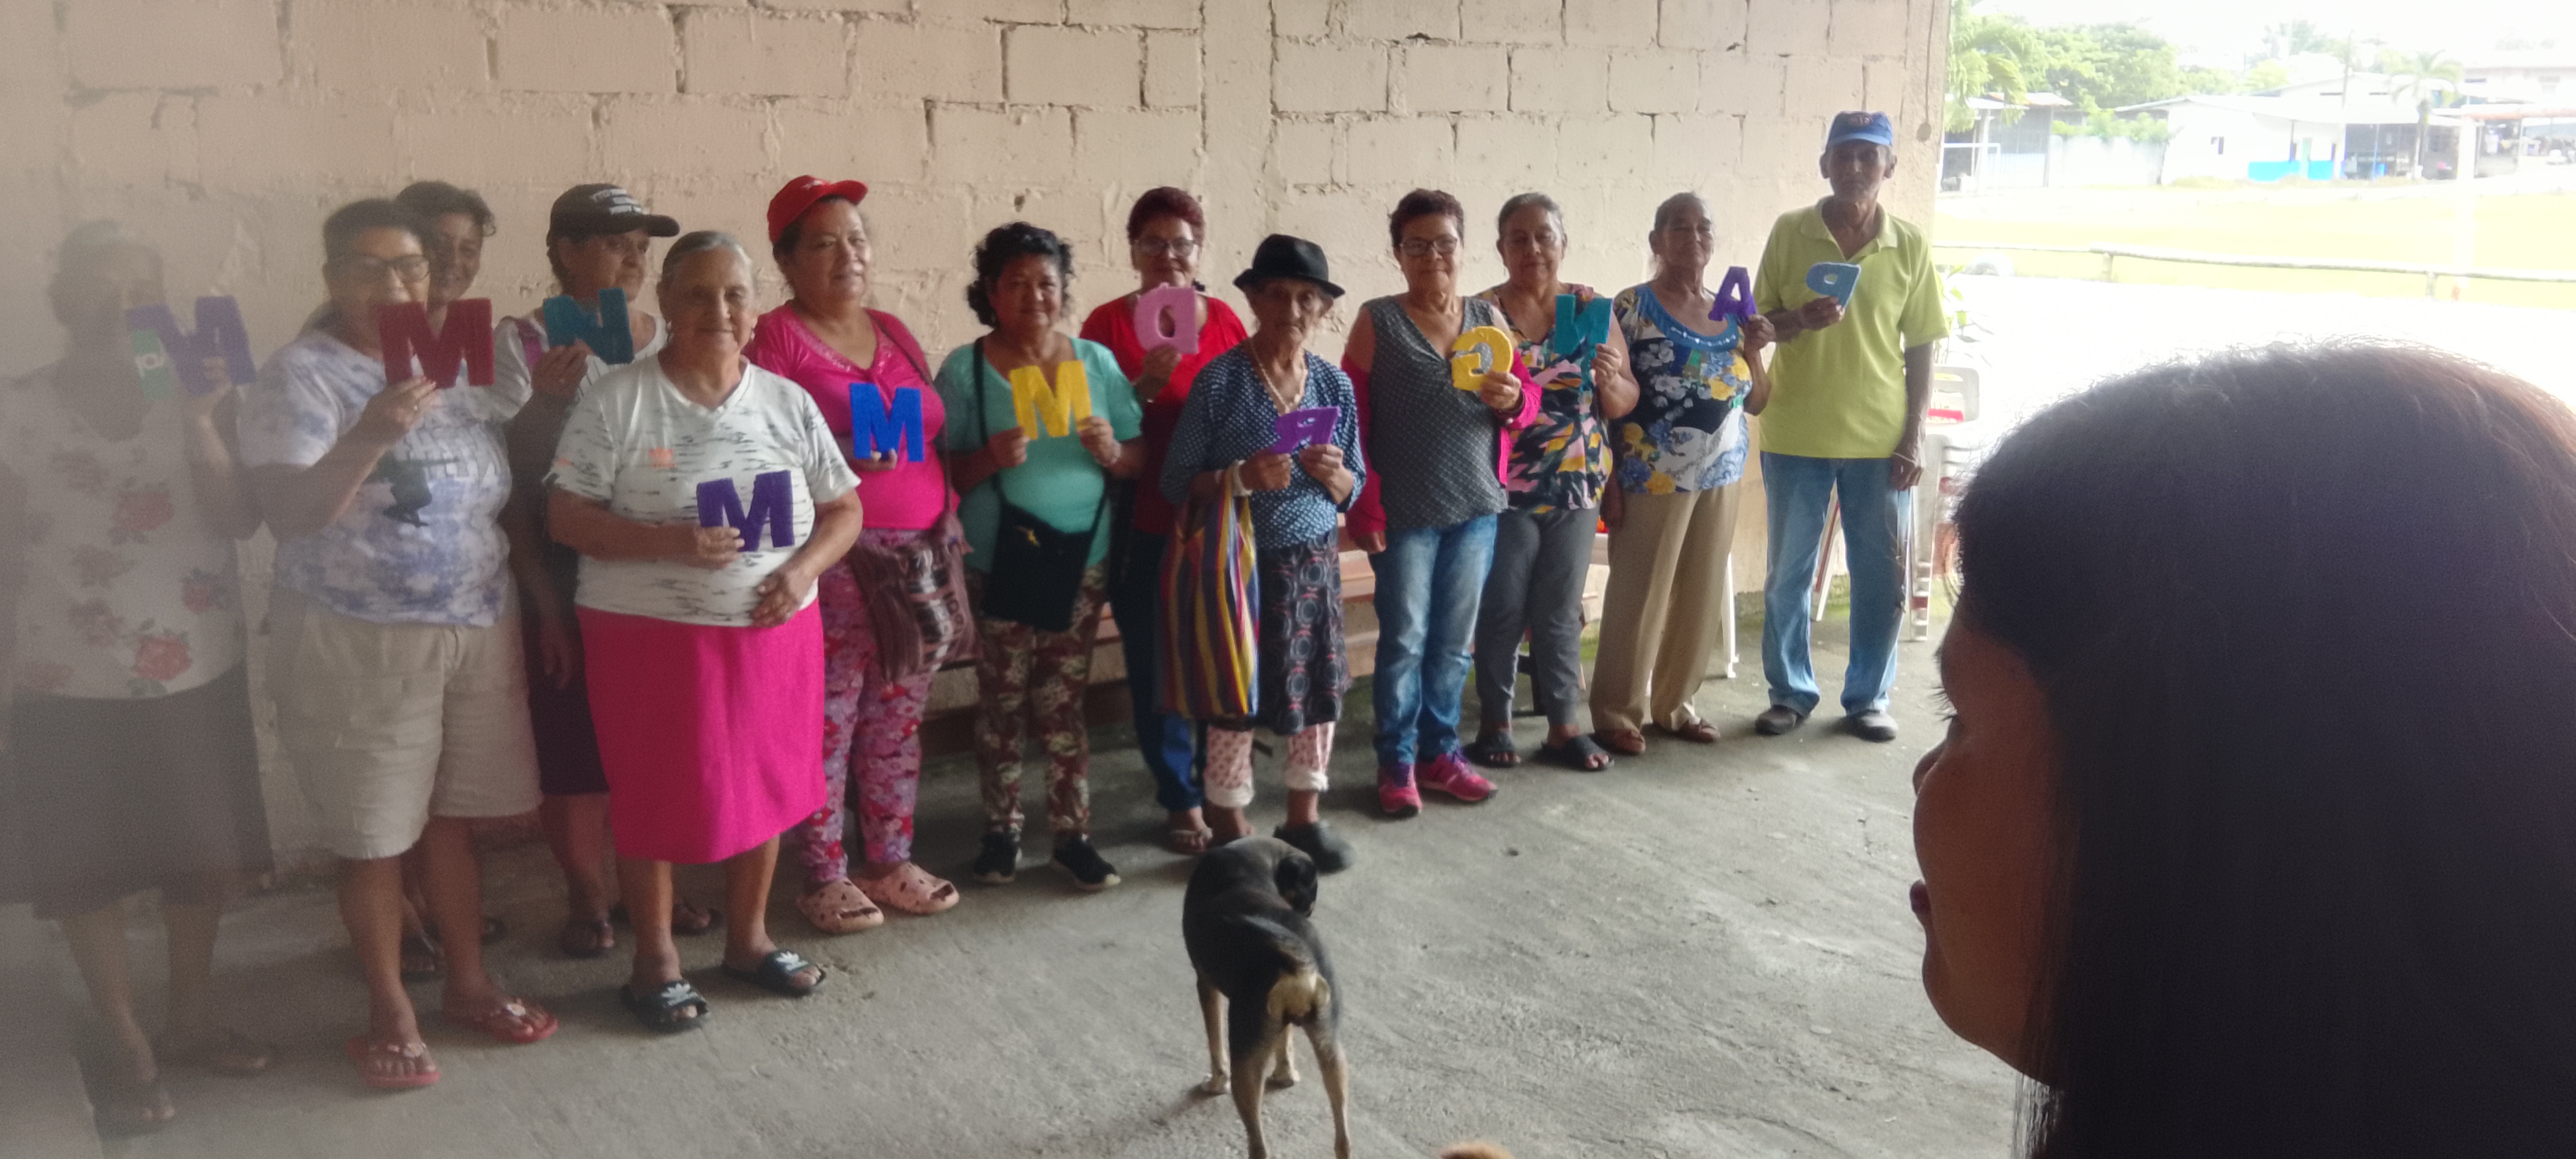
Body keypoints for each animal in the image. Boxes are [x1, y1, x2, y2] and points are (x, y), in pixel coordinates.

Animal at [1183, 837, 1351, 1159]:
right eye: (1305, 904)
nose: (1306, 912)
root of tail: (1297, 963)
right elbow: (1284, 1041)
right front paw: (1285, 1075)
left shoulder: (1205, 984)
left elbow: (1215, 1043)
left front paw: (1216, 1083)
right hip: (1333, 1051)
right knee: (1343, 1138)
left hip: (1246, 1067)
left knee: (1259, 1145)